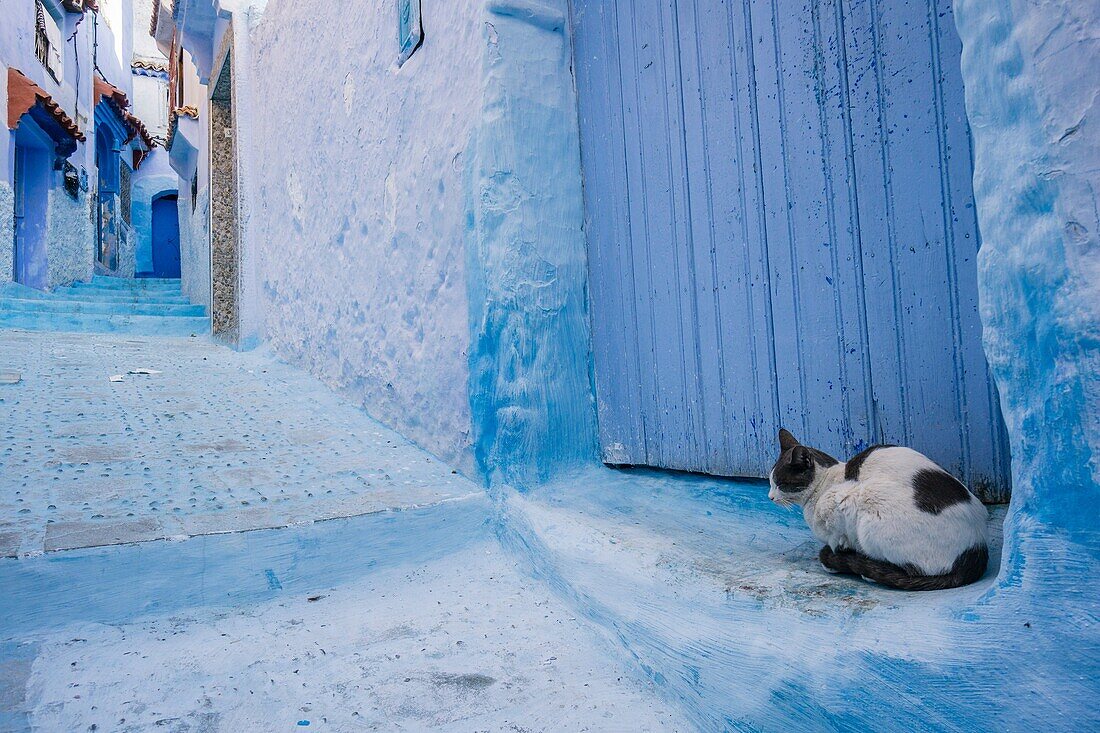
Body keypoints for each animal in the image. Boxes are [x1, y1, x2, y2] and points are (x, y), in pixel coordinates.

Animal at [770, 429, 994, 589]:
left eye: (780, 484)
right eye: (771, 482)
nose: (770, 497)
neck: (825, 482)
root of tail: (977, 547)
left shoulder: (841, 499)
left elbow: (837, 538)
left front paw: (838, 556)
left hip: (871, 508)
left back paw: (871, 572)